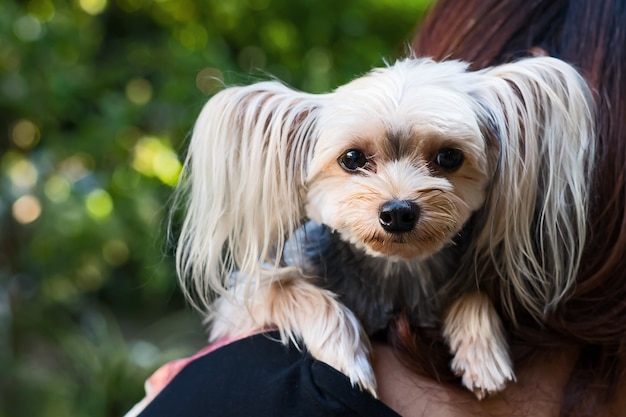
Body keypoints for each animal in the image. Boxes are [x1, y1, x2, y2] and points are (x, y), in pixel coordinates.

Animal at [173, 57, 592, 398]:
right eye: (352, 158)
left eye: (449, 156)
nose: (399, 212)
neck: (394, 270)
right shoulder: (242, 300)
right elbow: (293, 290)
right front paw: (348, 360)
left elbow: (472, 291)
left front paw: (483, 353)